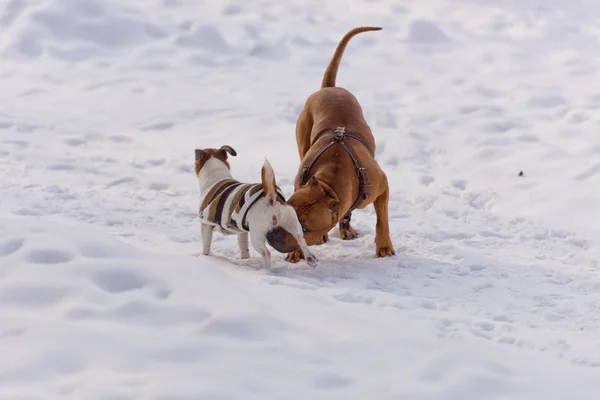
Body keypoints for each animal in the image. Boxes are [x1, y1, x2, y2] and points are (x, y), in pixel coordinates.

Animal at [266, 25, 396, 262]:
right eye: (287, 214)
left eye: (305, 228)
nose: (271, 235)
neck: (330, 184)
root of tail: (329, 87)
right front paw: (298, 251)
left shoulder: (382, 186)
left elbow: (382, 219)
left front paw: (383, 245)